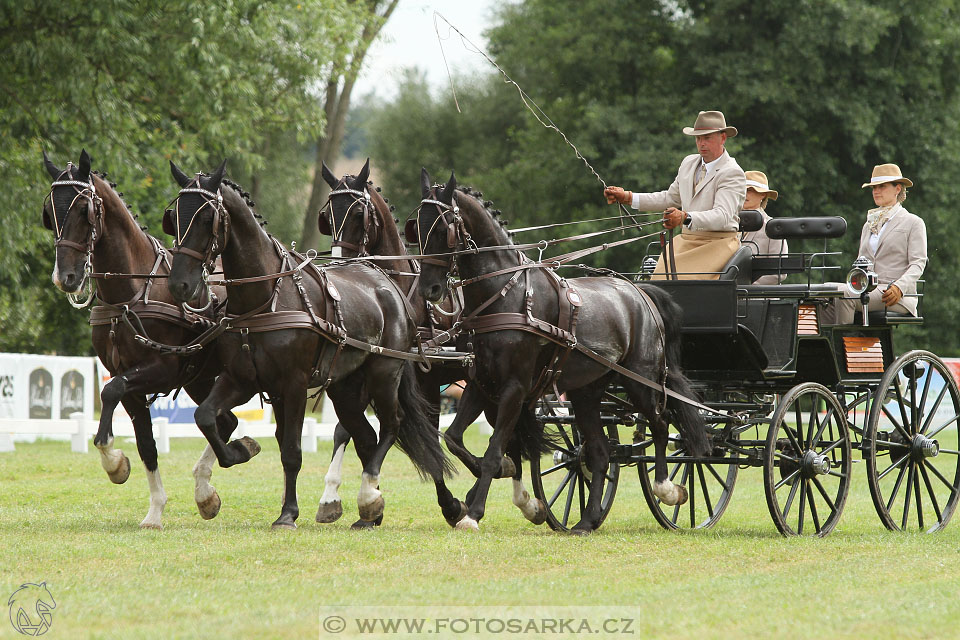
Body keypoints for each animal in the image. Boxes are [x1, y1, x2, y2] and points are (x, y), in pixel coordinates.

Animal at [41, 151, 238, 528]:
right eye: (50, 213)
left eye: (84, 210)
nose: (66, 277)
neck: (131, 293)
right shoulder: (129, 376)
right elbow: (146, 443)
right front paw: (154, 507)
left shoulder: (160, 368)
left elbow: (109, 391)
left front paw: (115, 463)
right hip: (199, 377)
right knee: (225, 420)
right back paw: (207, 491)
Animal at [164, 161, 462, 528]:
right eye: (173, 216)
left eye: (208, 218)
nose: (180, 284)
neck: (265, 299)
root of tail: (385, 282)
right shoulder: (243, 380)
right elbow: (206, 416)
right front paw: (239, 452)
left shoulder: (293, 383)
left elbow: (292, 451)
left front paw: (288, 513)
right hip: (347, 387)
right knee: (366, 437)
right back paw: (371, 510)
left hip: (384, 373)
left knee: (392, 425)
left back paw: (370, 495)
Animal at [416, 168, 708, 532]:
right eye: (416, 227)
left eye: (444, 230)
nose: (429, 289)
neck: (506, 294)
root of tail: (639, 291)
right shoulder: (482, 383)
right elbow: (455, 437)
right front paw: (496, 485)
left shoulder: (514, 388)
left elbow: (494, 449)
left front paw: (474, 511)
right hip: (587, 393)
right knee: (599, 452)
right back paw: (588, 519)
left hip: (641, 379)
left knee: (660, 423)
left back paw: (667, 489)